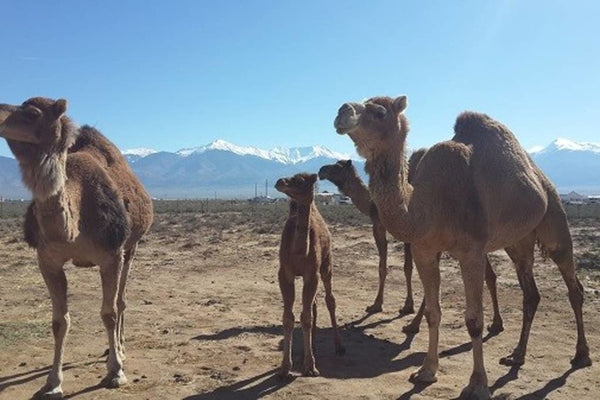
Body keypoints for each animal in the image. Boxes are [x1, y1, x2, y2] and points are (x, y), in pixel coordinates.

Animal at [0, 97, 154, 400]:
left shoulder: (111, 255)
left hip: (131, 247)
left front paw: (116, 372)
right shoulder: (47, 260)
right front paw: (52, 382)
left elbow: (109, 313)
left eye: (32, 113)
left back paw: (120, 349)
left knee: (121, 300)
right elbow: (59, 321)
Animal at [274, 173, 344, 378]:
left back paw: (339, 346)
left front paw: (310, 366)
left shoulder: (312, 273)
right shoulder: (285, 273)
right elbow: (288, 318)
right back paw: (312, 346)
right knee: (314, 306)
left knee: (330, 300)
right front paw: (285, 368)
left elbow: (305, 317)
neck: (299, 252)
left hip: (327, 266)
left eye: (300, 180)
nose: (280, 181)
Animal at [316, 156, 504, 334]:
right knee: (489, 274)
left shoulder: (379, 225)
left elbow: (383, 267)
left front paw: (376, 304)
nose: (321, 170)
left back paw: (414, 325)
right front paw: (407, 306)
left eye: (337, 166)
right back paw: (496, 324)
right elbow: (407, 268)